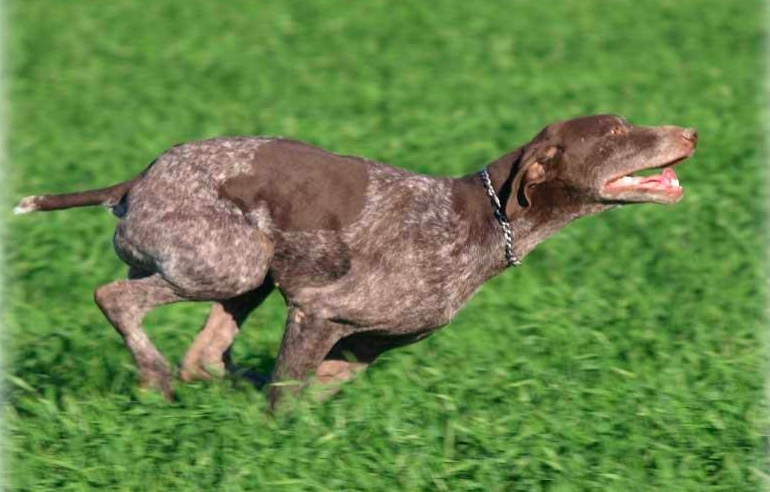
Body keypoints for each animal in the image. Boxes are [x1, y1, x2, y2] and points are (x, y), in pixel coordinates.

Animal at [13, 115, 696, 408]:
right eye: (615, 134)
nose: (689, 133)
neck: (481, 221)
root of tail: (139, 178)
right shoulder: (317, 313)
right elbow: (285, 399)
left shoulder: (366, 344)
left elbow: (307, 385)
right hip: (229, 262)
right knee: (116, 299)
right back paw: (154, 380)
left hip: (250, 271)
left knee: (202, 357)